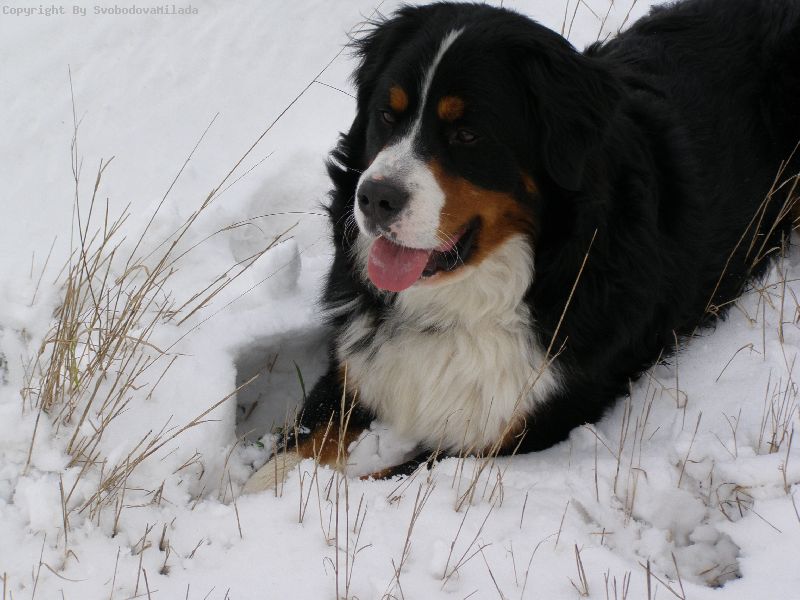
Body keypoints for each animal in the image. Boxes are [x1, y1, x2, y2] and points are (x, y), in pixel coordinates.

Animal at [244, 0, 800, 492]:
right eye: (386, 114)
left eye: (467, 134)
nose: (375, 198)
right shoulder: (354, 368)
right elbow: (290, 453)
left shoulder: (505, 431)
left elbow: (363, 487)